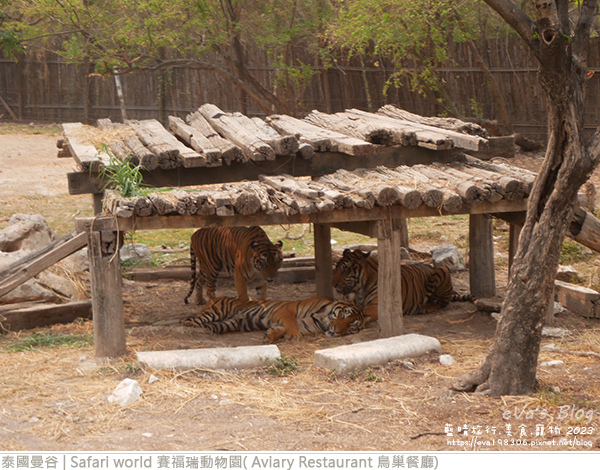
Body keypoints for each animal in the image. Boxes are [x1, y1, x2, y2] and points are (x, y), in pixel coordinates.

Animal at [180, 296, 366, 344]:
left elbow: (281, 329)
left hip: (229, 323)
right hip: (217, 310)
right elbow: (290, 323)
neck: (323, 319)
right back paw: (185, 326)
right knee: (193, 320)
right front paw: (293, 336)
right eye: (343, 315)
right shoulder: (286, 310)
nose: (336, 331)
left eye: (351, 326)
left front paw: (270, 335)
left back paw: (206, 332)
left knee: (211, 326)